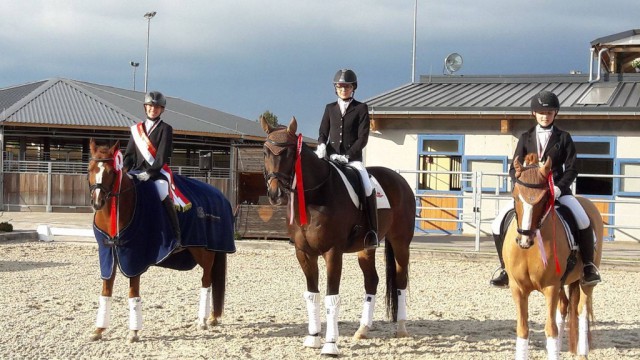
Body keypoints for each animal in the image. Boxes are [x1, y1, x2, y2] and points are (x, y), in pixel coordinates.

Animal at [86, 139, 234, 344]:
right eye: (90, 169)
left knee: (206, 281)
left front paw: (133, 332)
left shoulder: (134, 256)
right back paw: (211, 318)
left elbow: (133, 293)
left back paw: (202, 321)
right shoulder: (108, 254)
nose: (97, 202)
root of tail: (219, 195)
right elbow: (106, 291)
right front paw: (99, 330)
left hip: (205, 251)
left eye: (110, 172)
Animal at [260, 116, 416, 356]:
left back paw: (401, 328)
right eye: (265, 151)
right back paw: (362, 330)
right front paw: (313, 338)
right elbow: (312, 294)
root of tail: (399, 179)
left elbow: (331, 297)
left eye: (288, 152)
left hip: (401, 242)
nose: (274, 193)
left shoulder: (332, 252)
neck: (315, 195)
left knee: (400, 280)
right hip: (366, 247)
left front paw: (330, 345)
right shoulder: (304, 253)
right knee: (371, 281)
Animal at [502, 153, 604, 358]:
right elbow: (522, 329)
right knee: (564, 306)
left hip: (584, 282)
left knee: (581, 309)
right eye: (516, 196)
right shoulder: (518, 288)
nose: (524, 240)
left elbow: (551, 329)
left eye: (544, 198)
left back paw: (582, 352)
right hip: (562, 283)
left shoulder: (550, 287)